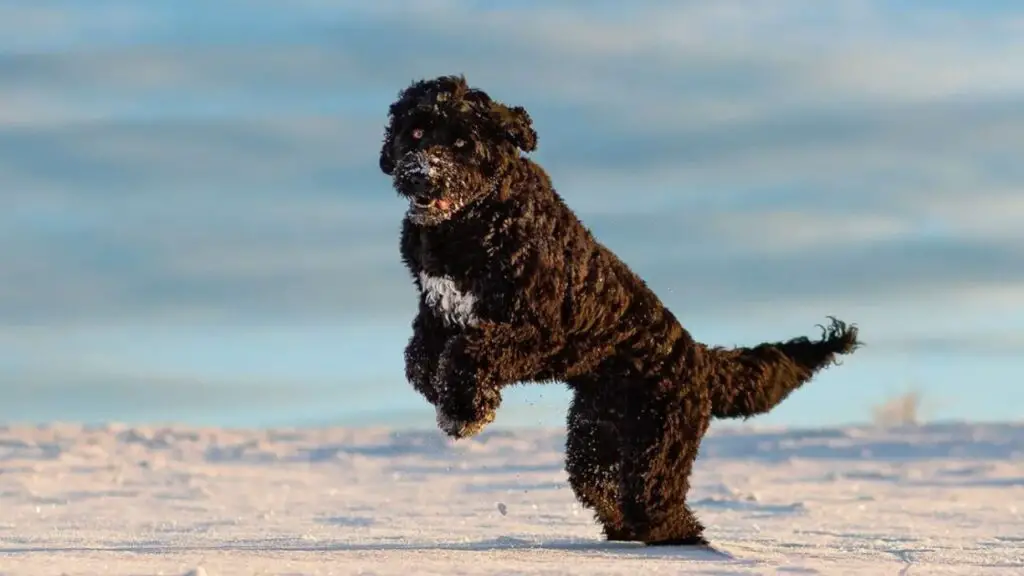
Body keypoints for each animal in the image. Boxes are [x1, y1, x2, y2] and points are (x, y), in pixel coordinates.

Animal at [380, 75, 860, 541]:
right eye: (416, 132)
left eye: (463, 142)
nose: (420, 175)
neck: (467, 226)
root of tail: (699, 360)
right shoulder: (436, 311)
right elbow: (419, 359)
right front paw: (445, 397)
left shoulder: (540, 331)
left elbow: (469, 350)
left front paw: (466, 411)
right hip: (598, 436)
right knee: (603, 488)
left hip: (658, 446)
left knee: (664, 512)